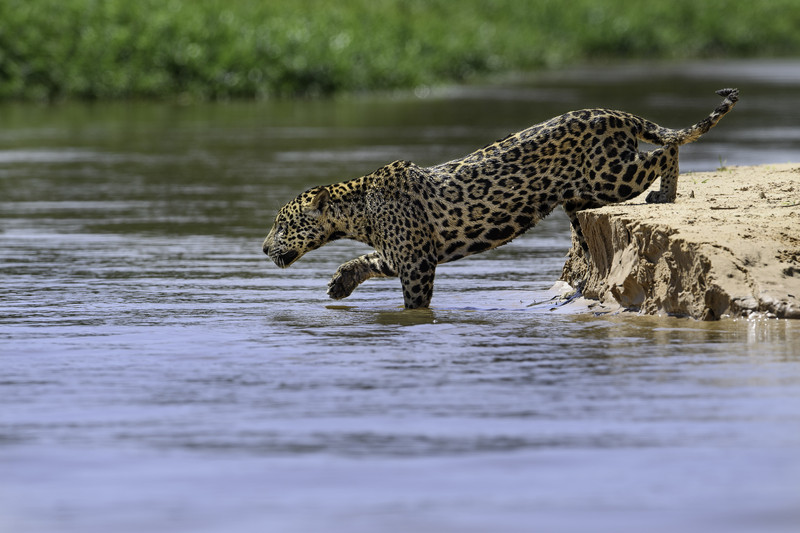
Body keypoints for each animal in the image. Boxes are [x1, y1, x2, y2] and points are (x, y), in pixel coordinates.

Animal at [263, 88, 739, 309]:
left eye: (283, 224)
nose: (264, 248)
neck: (358, 212)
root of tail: (614, 113)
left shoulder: (416, 262)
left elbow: (412, 298)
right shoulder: (403, 253)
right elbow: (367, 260)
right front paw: (340, 283)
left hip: (611, 175)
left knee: (666, 150)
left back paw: (665, 194)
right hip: (583, 195)